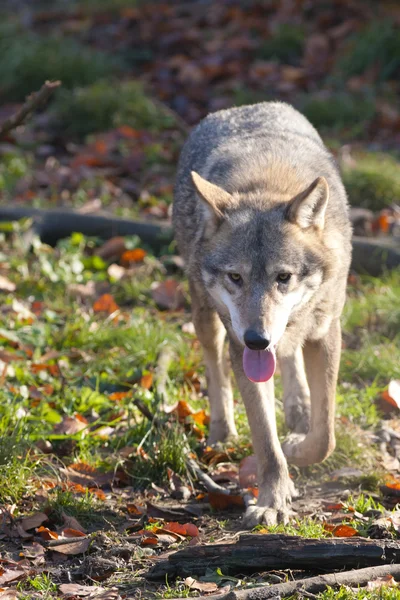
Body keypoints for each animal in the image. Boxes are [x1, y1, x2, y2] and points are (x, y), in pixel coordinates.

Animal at [173, 102, 352, 524]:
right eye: (235, 277)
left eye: (282, 277)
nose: (257, 338)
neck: (268, 183)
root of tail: (241, 108)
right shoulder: (241, 348)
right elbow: (265, 440)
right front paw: (273, 498)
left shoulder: (326, 333)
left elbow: (325, 435)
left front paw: (297, 446)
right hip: (204, 315)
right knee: (214, 367)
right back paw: (222, 431)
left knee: (290, 364)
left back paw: (298, 412)